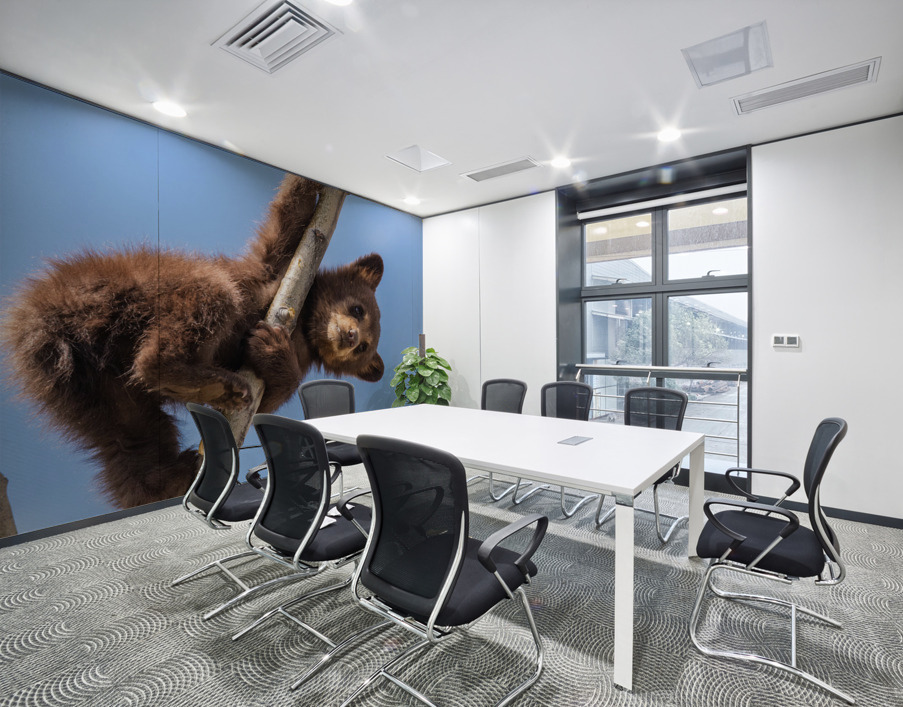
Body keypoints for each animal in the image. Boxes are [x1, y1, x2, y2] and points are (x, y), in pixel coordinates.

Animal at [1, 173, 384, 509]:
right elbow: (288, 224)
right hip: (142, 288)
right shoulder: (270, 273)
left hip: (90, 389)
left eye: (365, 347)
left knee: (133, 436)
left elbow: (267, 397)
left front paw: (271, 349)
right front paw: (312, 179)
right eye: (358, 308)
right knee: (211, 294)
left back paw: (170, 475)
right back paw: (194, 377)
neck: (304, 327)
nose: (351, 336)